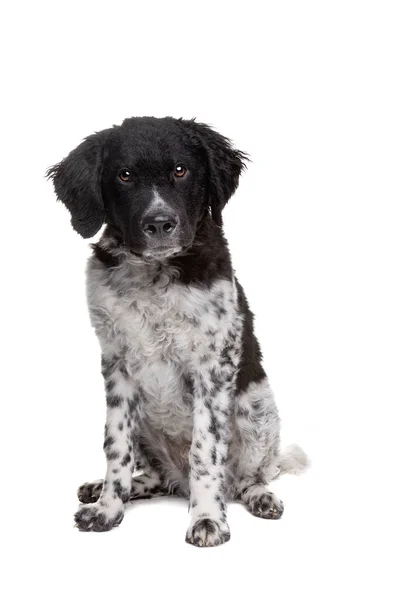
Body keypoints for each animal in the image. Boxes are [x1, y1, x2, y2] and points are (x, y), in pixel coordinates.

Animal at [47, 115, 310, 548]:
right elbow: (115, 449)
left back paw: (260, 496)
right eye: (124, 175)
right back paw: (107, 488)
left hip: (256, 408)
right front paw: (107, 510)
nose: (159, 223)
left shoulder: (213, 367)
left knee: (251, 476)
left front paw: (207, 520)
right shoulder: (116, 367)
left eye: (181, 170)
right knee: (157, 478)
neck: (155, 275)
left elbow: (205, 451)